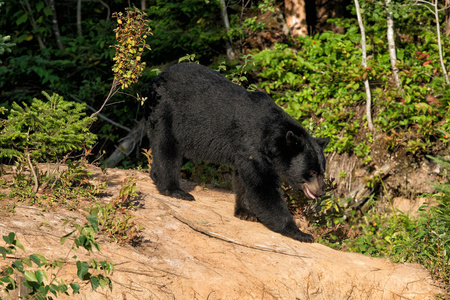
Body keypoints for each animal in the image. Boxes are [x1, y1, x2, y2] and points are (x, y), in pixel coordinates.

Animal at [146, 62, 328, 243]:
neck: (271, 136)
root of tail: (158, 76)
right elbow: (264, 188)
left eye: (322, 172)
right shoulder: (253, 147)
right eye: (312, 172)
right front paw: (299, 232)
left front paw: (245, 213)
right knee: (166, 146)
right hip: (166, 111)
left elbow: (244, 180)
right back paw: (174, 190)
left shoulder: (245, 153)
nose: (320, 192)